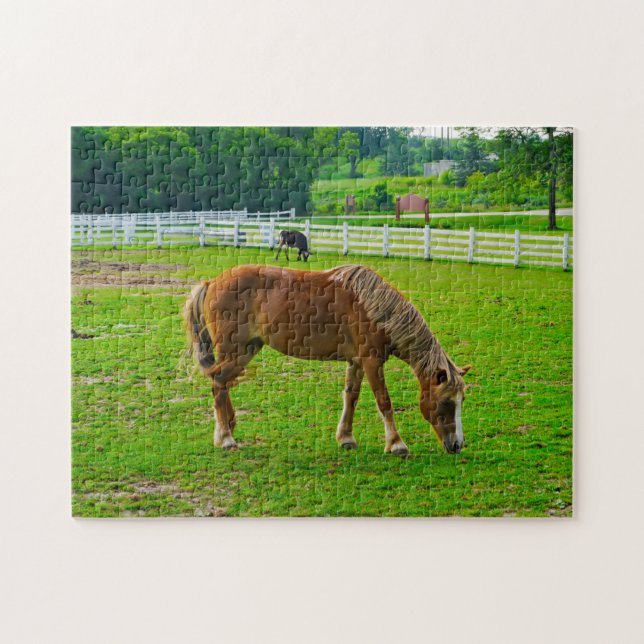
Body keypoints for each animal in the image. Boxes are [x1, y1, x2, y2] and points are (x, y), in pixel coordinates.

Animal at [184, 264, 471, 456]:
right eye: (446, 402)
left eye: (462, 400)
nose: (457, 445)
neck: (374, 308)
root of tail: (213, 282)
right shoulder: (371, 361)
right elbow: (384, 402)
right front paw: (396, 443)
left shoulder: (356, 362)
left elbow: (351, 398)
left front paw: (346, 437)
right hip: (235, 351)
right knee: (218, 384)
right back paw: (226, 437)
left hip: (246, 350)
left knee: (221, 384)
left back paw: (226, 430)